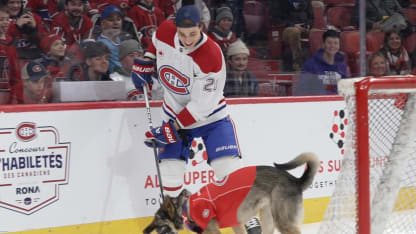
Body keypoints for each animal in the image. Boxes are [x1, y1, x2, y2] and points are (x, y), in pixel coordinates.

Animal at [143, 153, 318, 233]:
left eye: (157, 220)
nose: (144, 231)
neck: (186, 206)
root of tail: (295, 180)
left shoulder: (213, 230)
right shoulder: (236, 224)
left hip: (283, 221)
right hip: (268, 218)